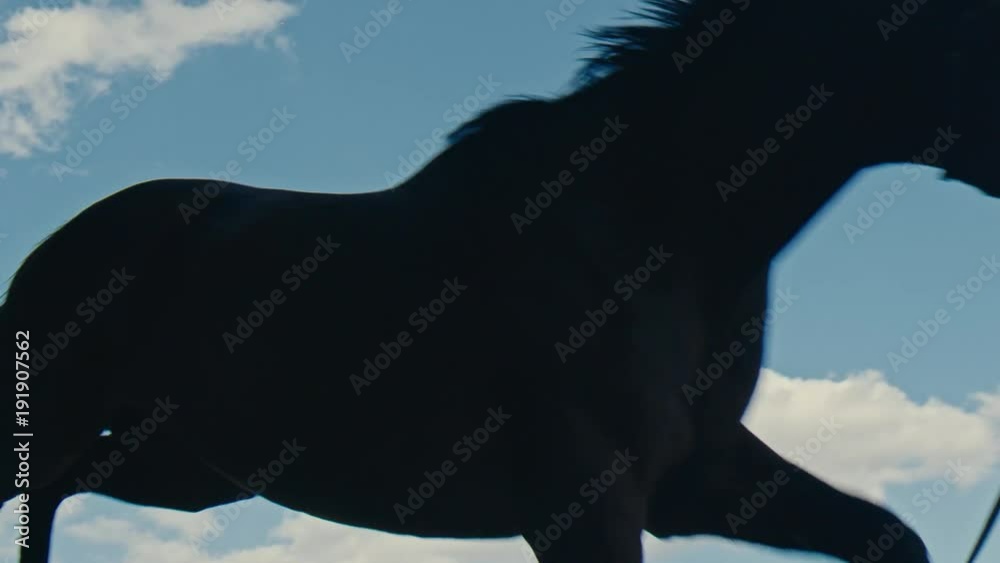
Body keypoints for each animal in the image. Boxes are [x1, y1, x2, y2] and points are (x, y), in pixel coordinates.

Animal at [4, 0, 999, 561]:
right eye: (972, 27)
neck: (660, 223)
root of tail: (60, 243)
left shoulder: (700, 481)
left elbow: (894, 540)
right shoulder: (584, 502)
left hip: (187, 469)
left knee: (60, 489)